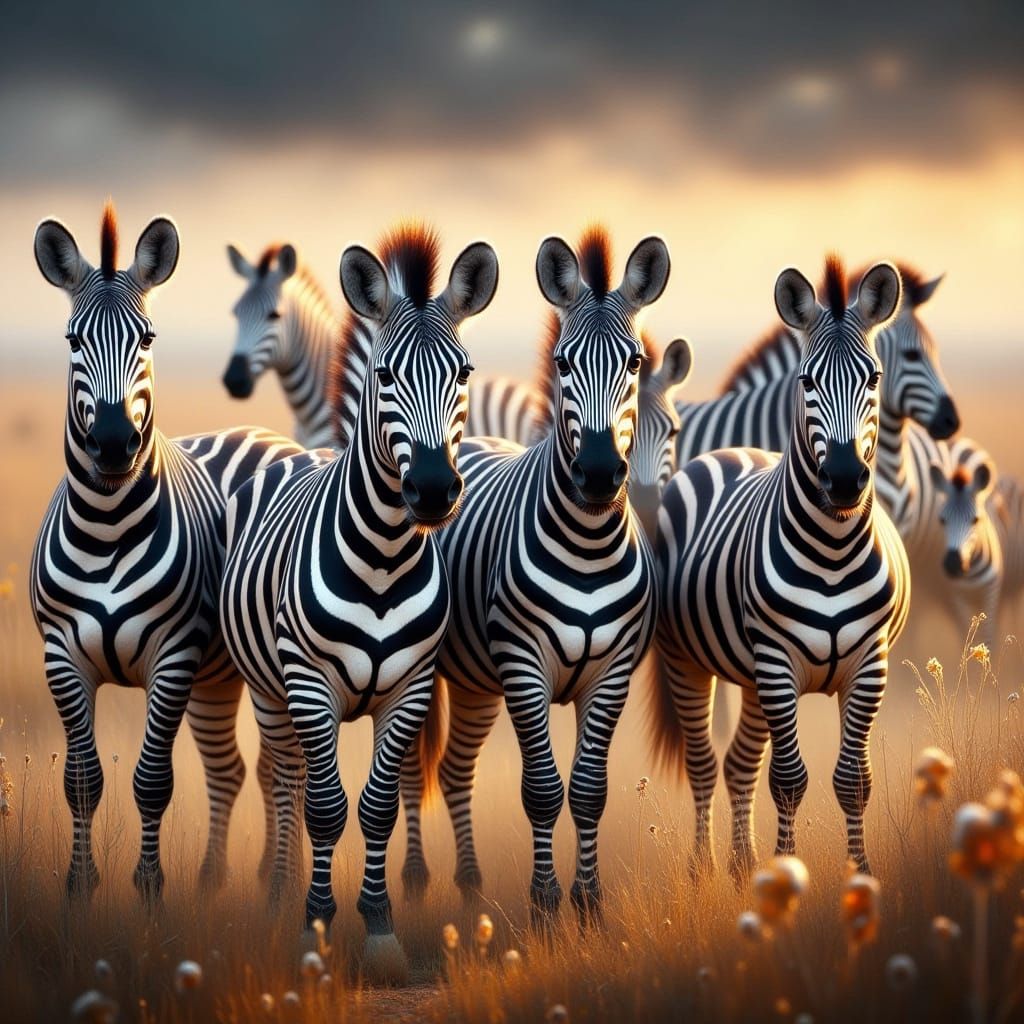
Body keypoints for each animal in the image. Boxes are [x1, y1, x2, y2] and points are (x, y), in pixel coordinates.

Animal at [30, 204, 304, 901]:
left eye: (148, 338)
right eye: (71, 341)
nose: (112, 444)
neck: (106, 530)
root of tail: (260, 431)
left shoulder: (174, 655)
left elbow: (153, 782)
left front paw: (150, 891)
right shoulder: (60, 656)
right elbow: (82, 780)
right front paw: (80, 890)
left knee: (280, 768)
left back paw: (280, 884)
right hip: (221, 675)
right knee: (242, 769)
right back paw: (227, 880)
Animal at [401, 227, 670, 928]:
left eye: (634, 364)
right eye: (564, 364)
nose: (598, 475)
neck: (588, 546)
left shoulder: (612, 669)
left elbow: (590, 789)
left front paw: (589, 903)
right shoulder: (522, 662)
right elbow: (543, 789)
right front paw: (547, 905)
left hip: (473, 679)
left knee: (456, 769)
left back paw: (470, 883)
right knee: (415, 767)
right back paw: (415, 878)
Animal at [650, 256, 910, 880]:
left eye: (873, 378)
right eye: (807, 381)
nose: (843, 480)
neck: (834, 550)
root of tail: (734, 451)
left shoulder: (871, 663)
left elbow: (853, 780)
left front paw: (858, 875)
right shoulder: (776, 660)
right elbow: (789, 780)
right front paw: (788, 878)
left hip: (749, 677)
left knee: (740, 762)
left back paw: (744, 865)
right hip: (689, 660)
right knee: (704, 761)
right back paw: (705, 867)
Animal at [931, 440, 1024, 639]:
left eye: (975, 519)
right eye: (942, 520)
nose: (953, 564)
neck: (970, 571)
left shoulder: (991, 591)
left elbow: (988, 636)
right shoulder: (958, 596)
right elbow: (966, 631)